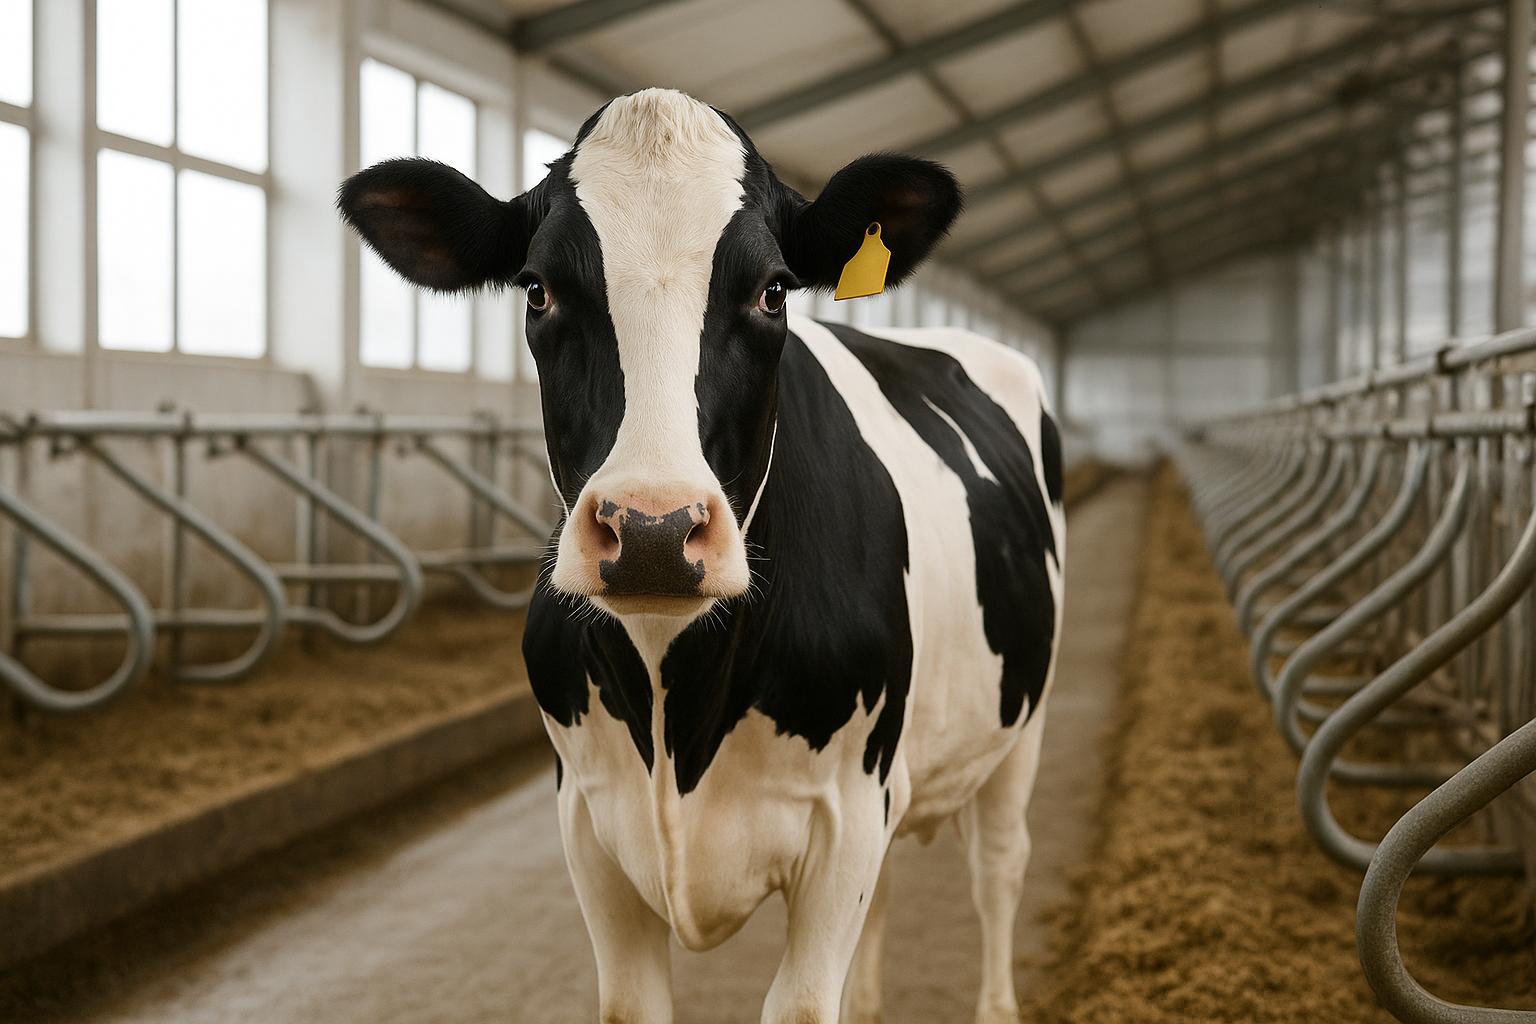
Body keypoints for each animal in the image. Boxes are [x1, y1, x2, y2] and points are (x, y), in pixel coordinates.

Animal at [340, 88, 1065, 1024]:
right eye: (537, 290)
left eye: (773, 291)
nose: (653, 531)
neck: (677, 712)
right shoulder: (588, 823)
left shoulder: (847, 817)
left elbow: (803, 1003)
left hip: (1020, 724)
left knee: (999, 870)